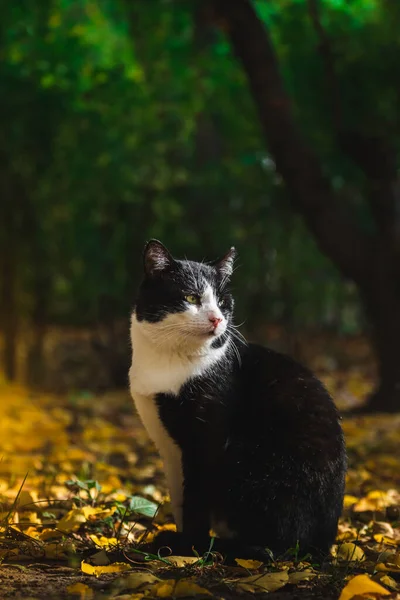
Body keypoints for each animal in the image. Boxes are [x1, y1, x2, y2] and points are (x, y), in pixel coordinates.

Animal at [129, 240, 346, 564]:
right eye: (191, 297)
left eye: (222, 302)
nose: (217, 319)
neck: (169, 361)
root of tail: (324, 544)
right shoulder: (168, 447)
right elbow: (180, 497)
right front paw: (183, 541)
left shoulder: (208, 439)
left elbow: (195, 497)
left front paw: (187, 548)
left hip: (250, 460)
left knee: (275, 547)